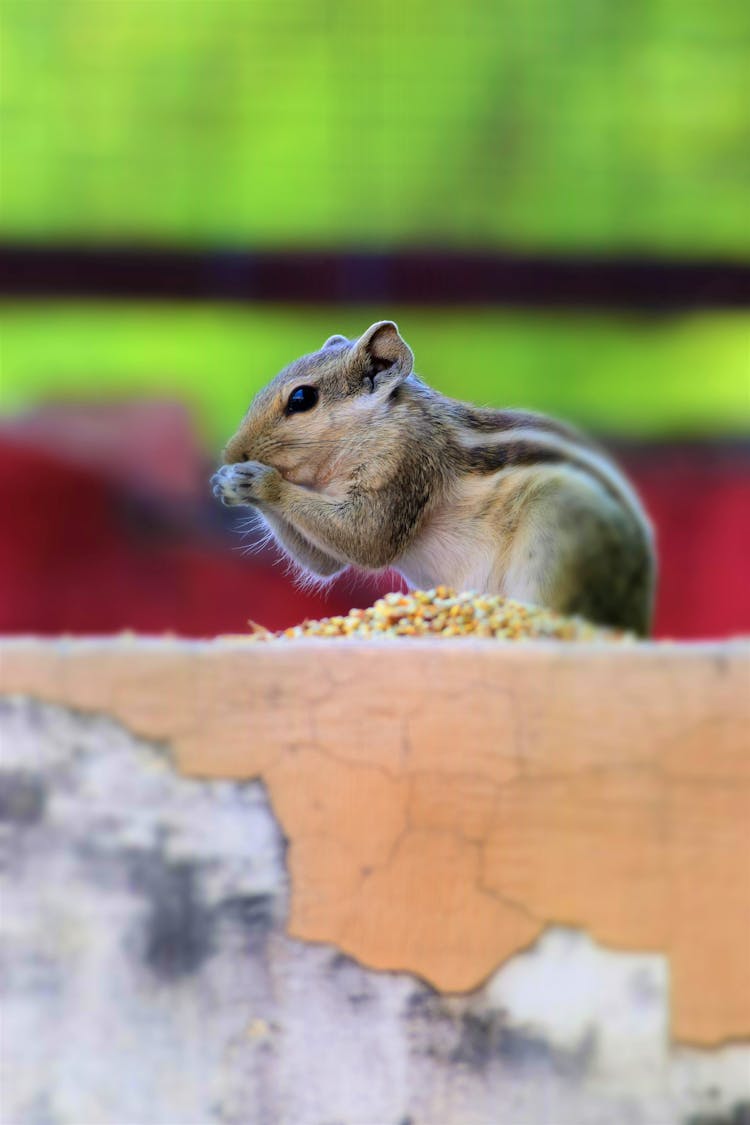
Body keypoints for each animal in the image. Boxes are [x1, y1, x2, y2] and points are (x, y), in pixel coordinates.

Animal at [212, 321, 656, 634]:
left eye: (302, 399)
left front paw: (259, 481)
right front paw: (227, 481)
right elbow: (324, 563)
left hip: (558, 546)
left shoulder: (404, 463)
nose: (232, 453)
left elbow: (367, 539)